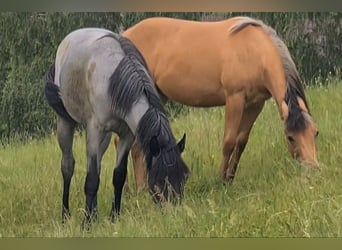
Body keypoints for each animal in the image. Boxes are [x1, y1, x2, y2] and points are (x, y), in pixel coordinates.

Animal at [44, 27, 190, 229]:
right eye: (159, 181)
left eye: (184, 177)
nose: (174, 216)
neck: (113, 82)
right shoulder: (95, 131)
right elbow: (92, 180)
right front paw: (86, 224)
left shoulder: (127, 135)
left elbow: (118, 176)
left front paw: (114, 217)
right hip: (65, 123)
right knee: (67, 166)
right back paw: (66, 216)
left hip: (104, 139)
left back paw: (94, 213)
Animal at [120, 16, 318, 188]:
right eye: (290, 137)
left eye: (315, 132)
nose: (313, 169)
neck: (253, 50)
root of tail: (124, 35)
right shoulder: (234, 99)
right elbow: (228, 141)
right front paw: (221, 180)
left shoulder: (255, 105)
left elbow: (241, 141)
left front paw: (230, 178)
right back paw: (139, 188)